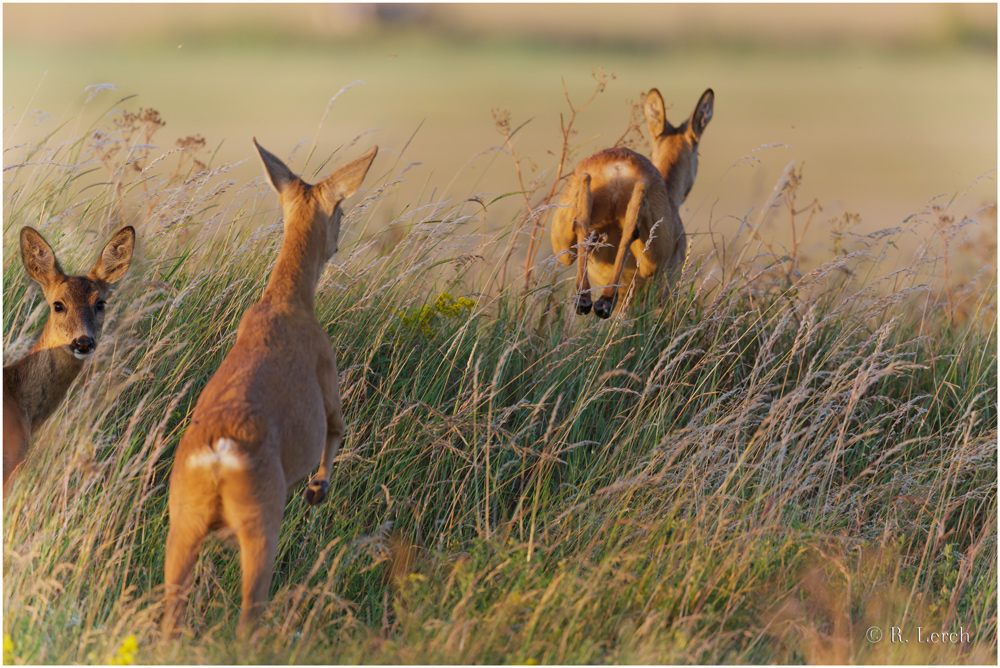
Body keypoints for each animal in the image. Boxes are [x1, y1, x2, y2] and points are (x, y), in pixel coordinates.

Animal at [166, 138, 376, 640]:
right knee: (247, 617)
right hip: (262, 519)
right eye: (341, 211)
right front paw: (318, 489)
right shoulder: (327, 370)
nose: (338, 242)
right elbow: (339, 428)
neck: (284, 301)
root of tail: (218, 457)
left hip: (182, 519)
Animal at [556, 88, 712, 318]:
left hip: (566, 243)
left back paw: (585, 299)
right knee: (633, 220)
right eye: (697, 152)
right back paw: (603, 301)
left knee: (583, 222)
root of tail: (618, 165)